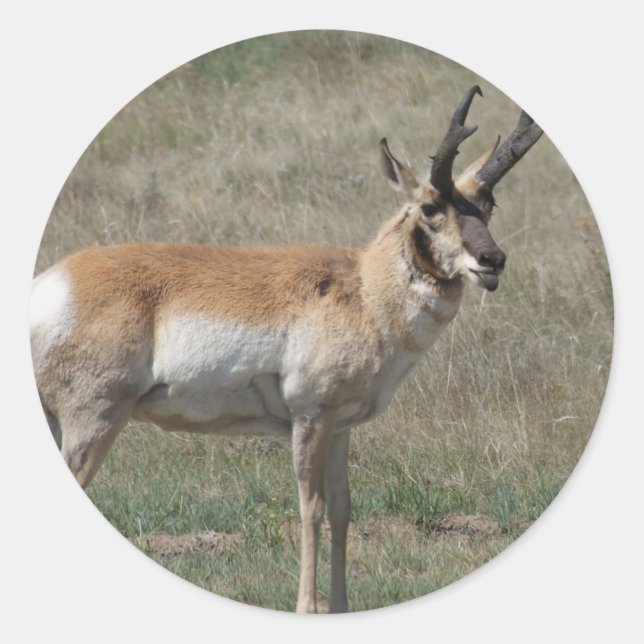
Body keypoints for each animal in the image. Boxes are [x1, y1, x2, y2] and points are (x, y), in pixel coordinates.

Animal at [30, 86, 542, 613]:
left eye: (488, 202)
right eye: (429, 207)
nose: (492, 260)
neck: (364, 289)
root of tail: (50, 285)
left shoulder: (341, 426)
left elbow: (342, 510)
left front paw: (339, 606)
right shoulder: (310, 417)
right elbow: (310, 508)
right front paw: (306, 607)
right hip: (94, 420)